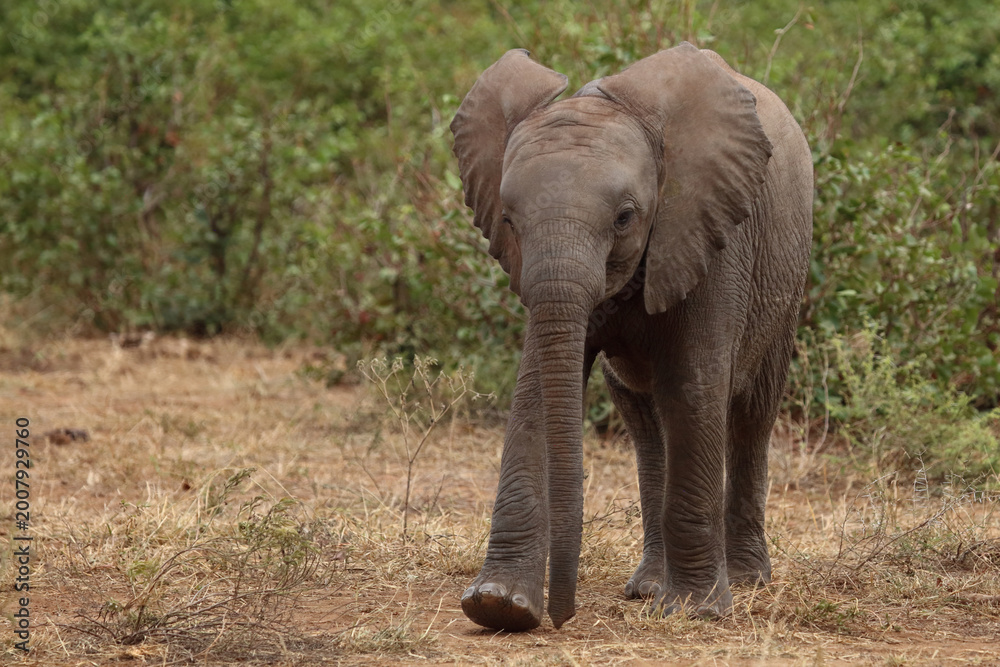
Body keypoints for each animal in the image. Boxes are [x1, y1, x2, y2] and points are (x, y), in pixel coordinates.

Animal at [449, 42, 813, 632]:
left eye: (624, 218)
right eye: (507, 220)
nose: (562, 616)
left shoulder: (709, 231)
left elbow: (694, 384)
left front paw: (694, 611)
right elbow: (534, 391)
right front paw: (498, 605)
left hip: (787, 274)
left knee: (752, 415)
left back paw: (745, 581)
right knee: (644, 421)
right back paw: (648, 589)